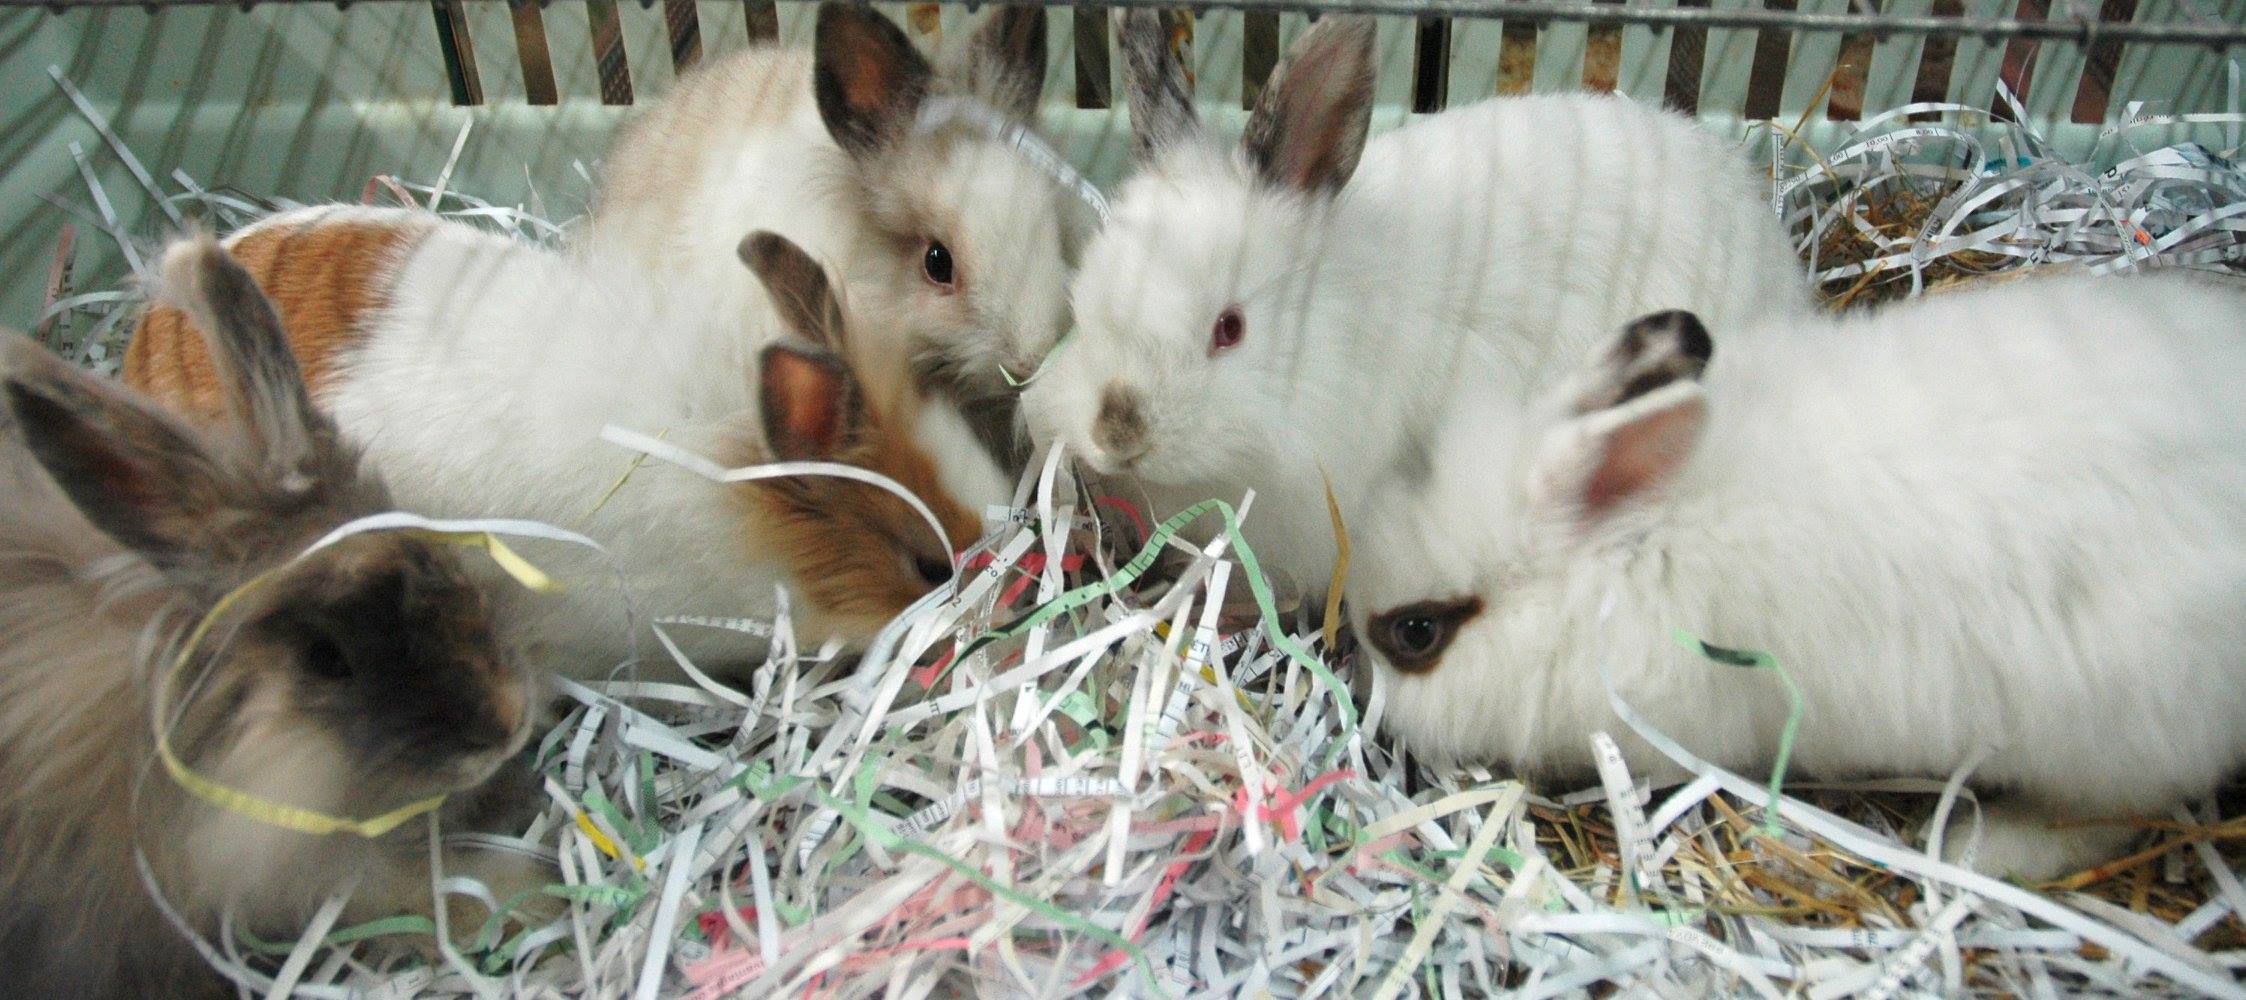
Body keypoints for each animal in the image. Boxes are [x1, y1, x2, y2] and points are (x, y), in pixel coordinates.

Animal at [1344, 273, 2246, 881]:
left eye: (1416, 633)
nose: (1360, 687)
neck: (1627, 546)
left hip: (2115, 735)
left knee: (2113, 814)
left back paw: (1979, 847)